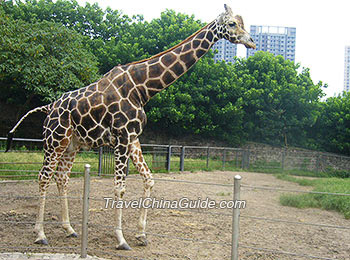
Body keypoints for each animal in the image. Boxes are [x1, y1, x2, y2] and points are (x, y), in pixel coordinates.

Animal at [5, 4, 256, 250]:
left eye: (243, 23)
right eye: (232, 24)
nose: (251, 42)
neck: (142, 89)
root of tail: (48, 107)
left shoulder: (134, 138)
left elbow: (149, 180)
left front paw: (141, 235)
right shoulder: (123, 137)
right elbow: (120, 188)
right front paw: (121, 239)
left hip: (71, 145)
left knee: (61, 177)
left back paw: (69, 229)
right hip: (54, 141)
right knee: (43, 177)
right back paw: (40, 234)